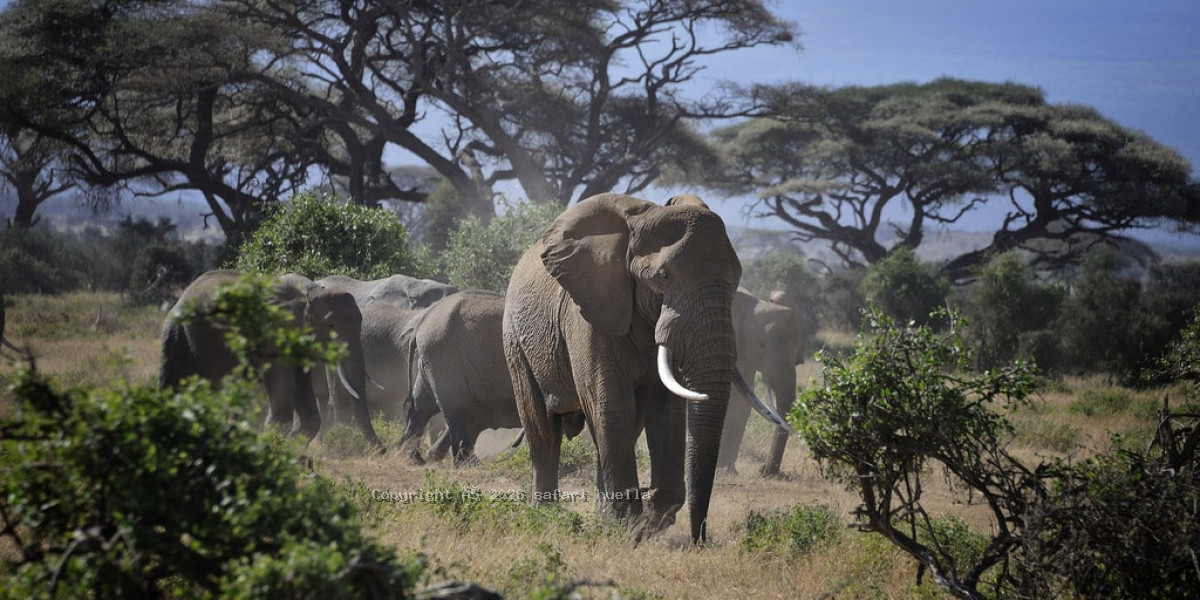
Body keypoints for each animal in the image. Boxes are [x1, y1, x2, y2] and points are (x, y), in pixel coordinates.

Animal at [159, 270, 379, 445]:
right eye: (330, 325)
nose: (383, 450)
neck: (312, 292)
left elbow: (306, 406)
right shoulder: (274, 332)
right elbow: (283, 397)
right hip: (176, 331)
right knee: (171, 382)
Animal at [502, 192, 785, 544]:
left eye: (737, 280)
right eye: (664, 277)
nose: (700, 541)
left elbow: (666, 411)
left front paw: (641, 525)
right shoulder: (591, 314)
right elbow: (611, 402)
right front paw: (629, 524)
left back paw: (603, 518)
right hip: (515, 341)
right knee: (543, 428)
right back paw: (546, 517)